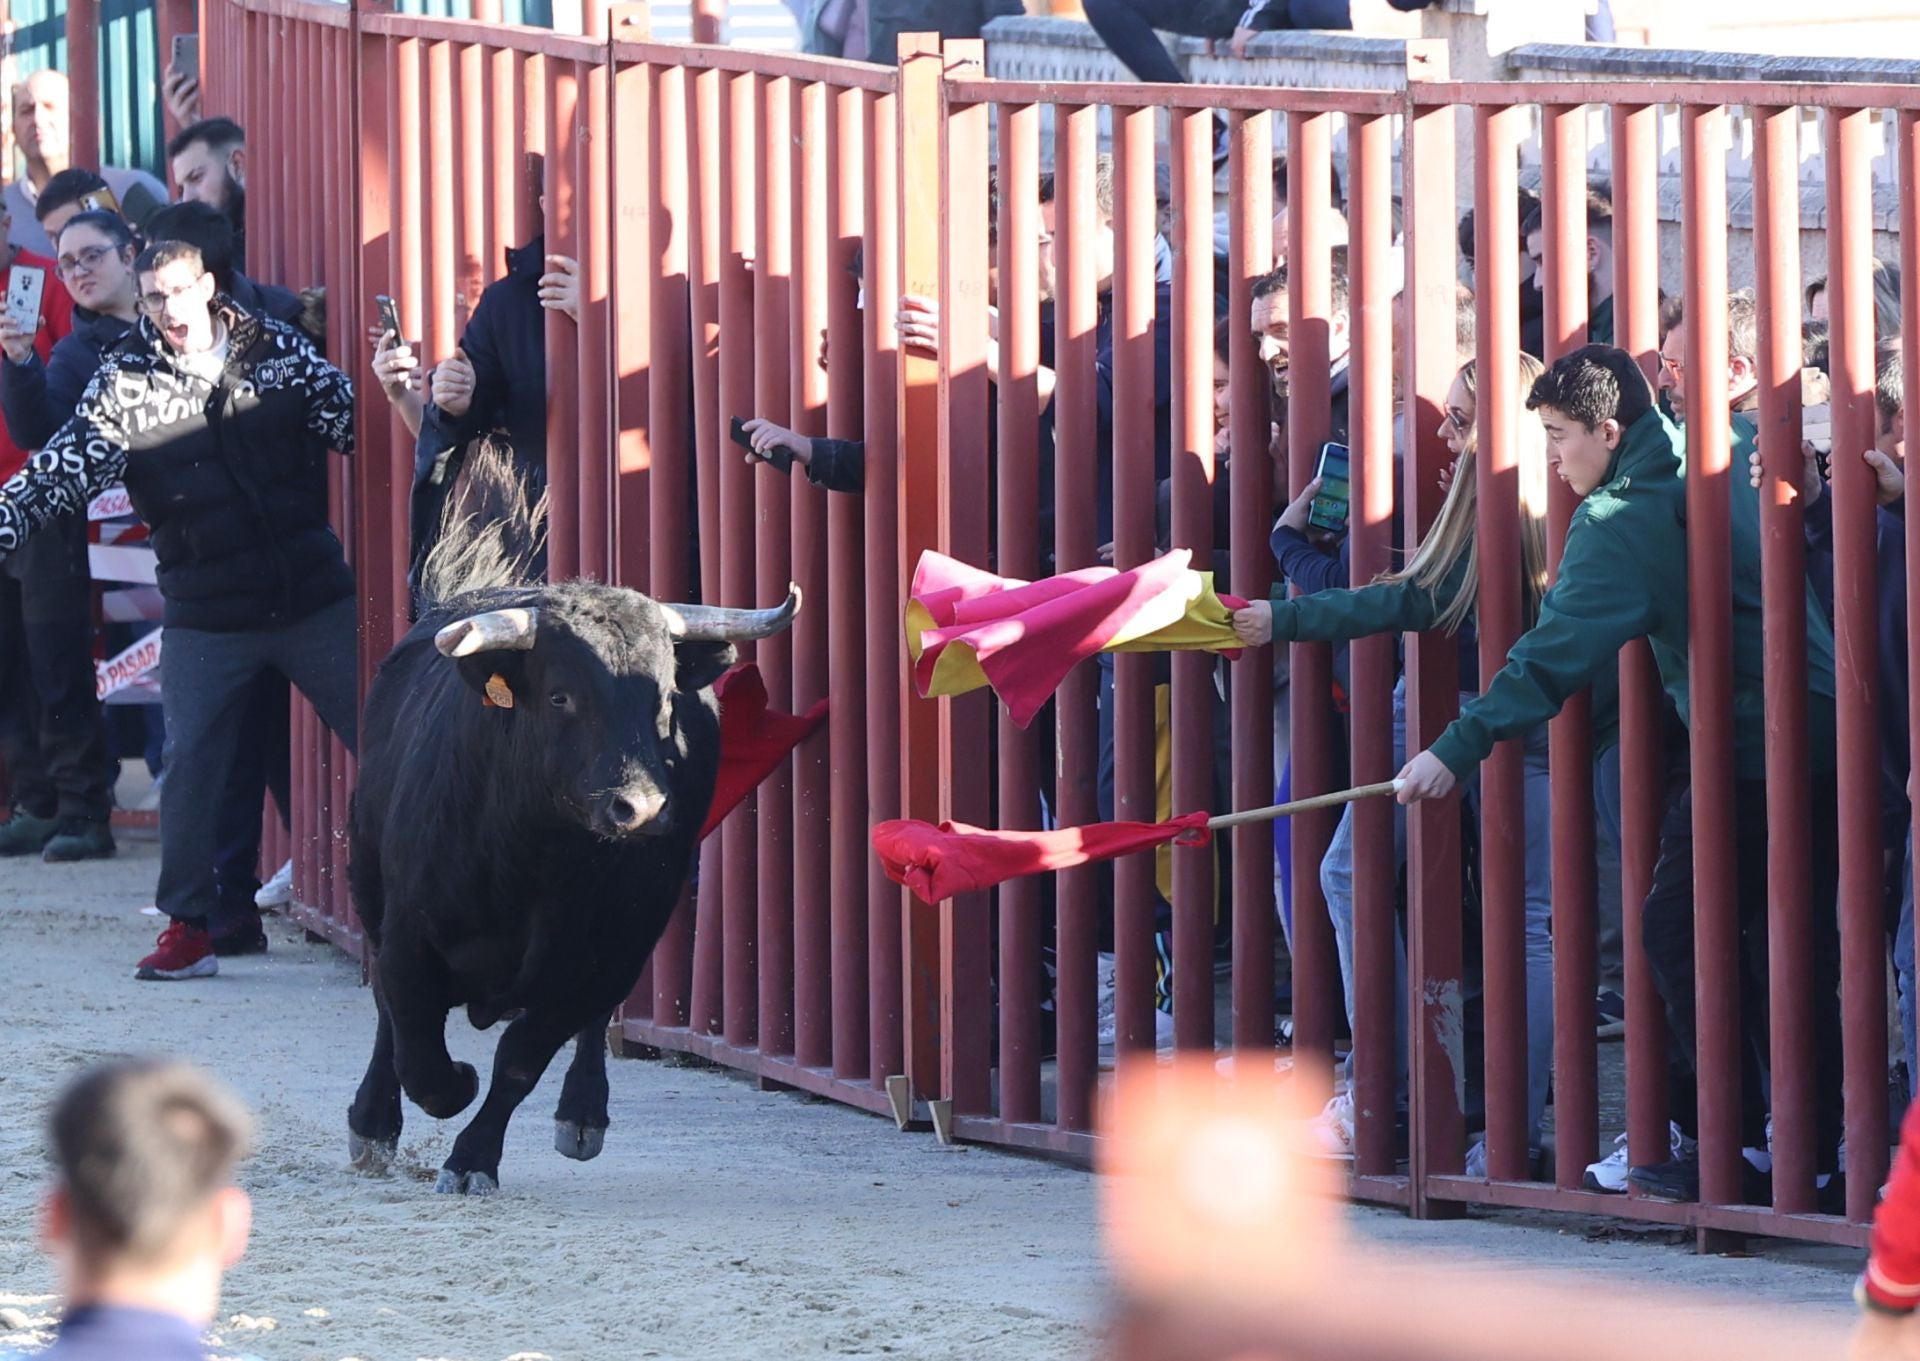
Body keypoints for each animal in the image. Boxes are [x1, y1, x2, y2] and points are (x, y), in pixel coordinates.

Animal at [343, 579, 794, 1197]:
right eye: (561, 697)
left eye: (664, 702)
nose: (641, 808)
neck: (531, 860)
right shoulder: (408, 936)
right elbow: (417, 1046)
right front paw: (445, 1088)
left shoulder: (600, 960)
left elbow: (520, 1059)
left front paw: (472, 1160)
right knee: (390, 1020)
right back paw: (372, 1125)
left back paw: (582, 1116)